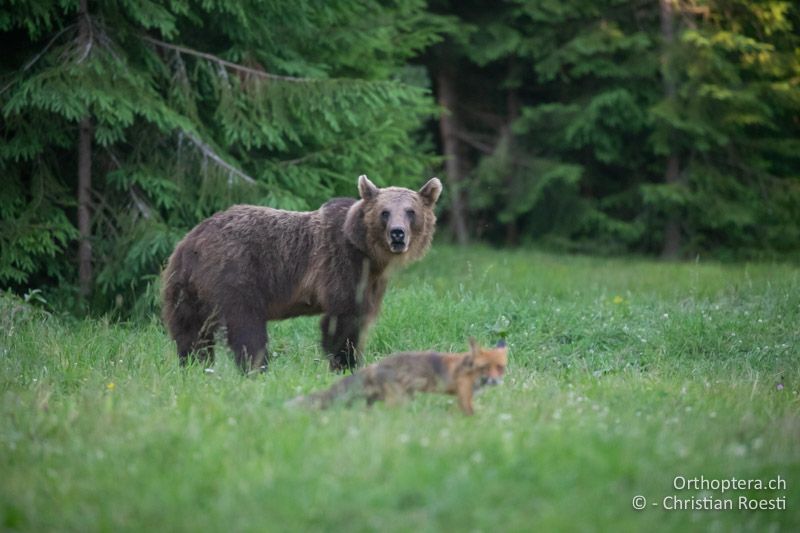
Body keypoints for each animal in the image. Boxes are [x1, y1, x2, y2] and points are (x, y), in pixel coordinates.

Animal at [159, 175, 440, 370]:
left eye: (410, 211)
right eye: (385, 212)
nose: (397, 234)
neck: (368, 253)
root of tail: (192, 241)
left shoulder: (372, 280)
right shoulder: (340, 266)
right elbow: (343, 320)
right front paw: (346, 363)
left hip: (183, 287)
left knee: (189, 330)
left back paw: (193, 365)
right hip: (236, 272)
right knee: (246, 325)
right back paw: (257, 368)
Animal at [288, 336, 506, 416]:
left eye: (501, 368)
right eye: (486, 367)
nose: (495, 380)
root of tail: (374, 366)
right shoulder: (463, 392)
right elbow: (471, 413)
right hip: (399, 401)